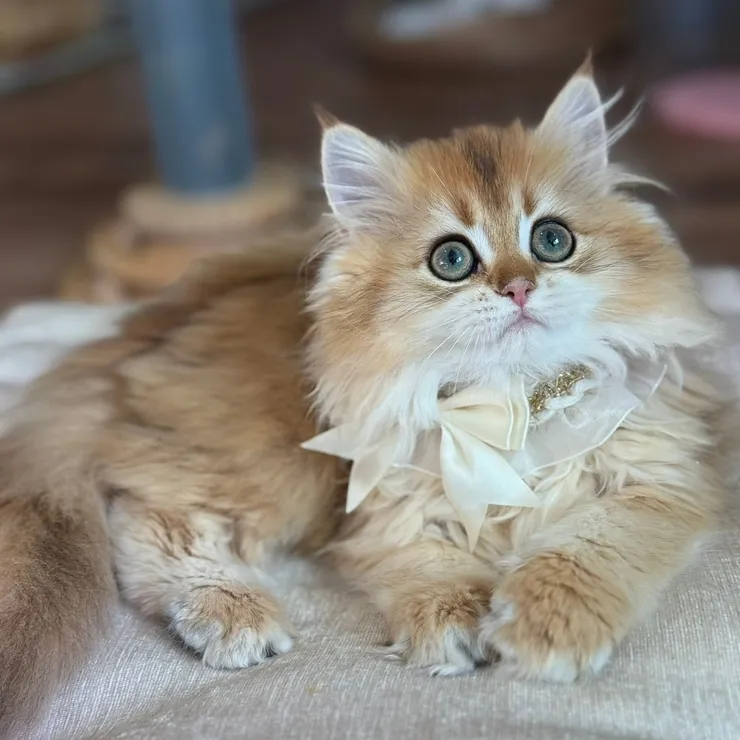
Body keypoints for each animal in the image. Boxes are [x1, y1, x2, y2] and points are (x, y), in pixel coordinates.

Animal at [0, 61, 725, 735]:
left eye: (552, 240)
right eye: (452, 260)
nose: (518, 288)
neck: (509, 403)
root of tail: (134, 329)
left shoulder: (658, 481)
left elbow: (583, 552)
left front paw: (548, 625)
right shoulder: (389, 513)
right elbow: (434, 568)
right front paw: (459, 622)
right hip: (272, 474)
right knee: (144, 520)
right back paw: (230, 610)